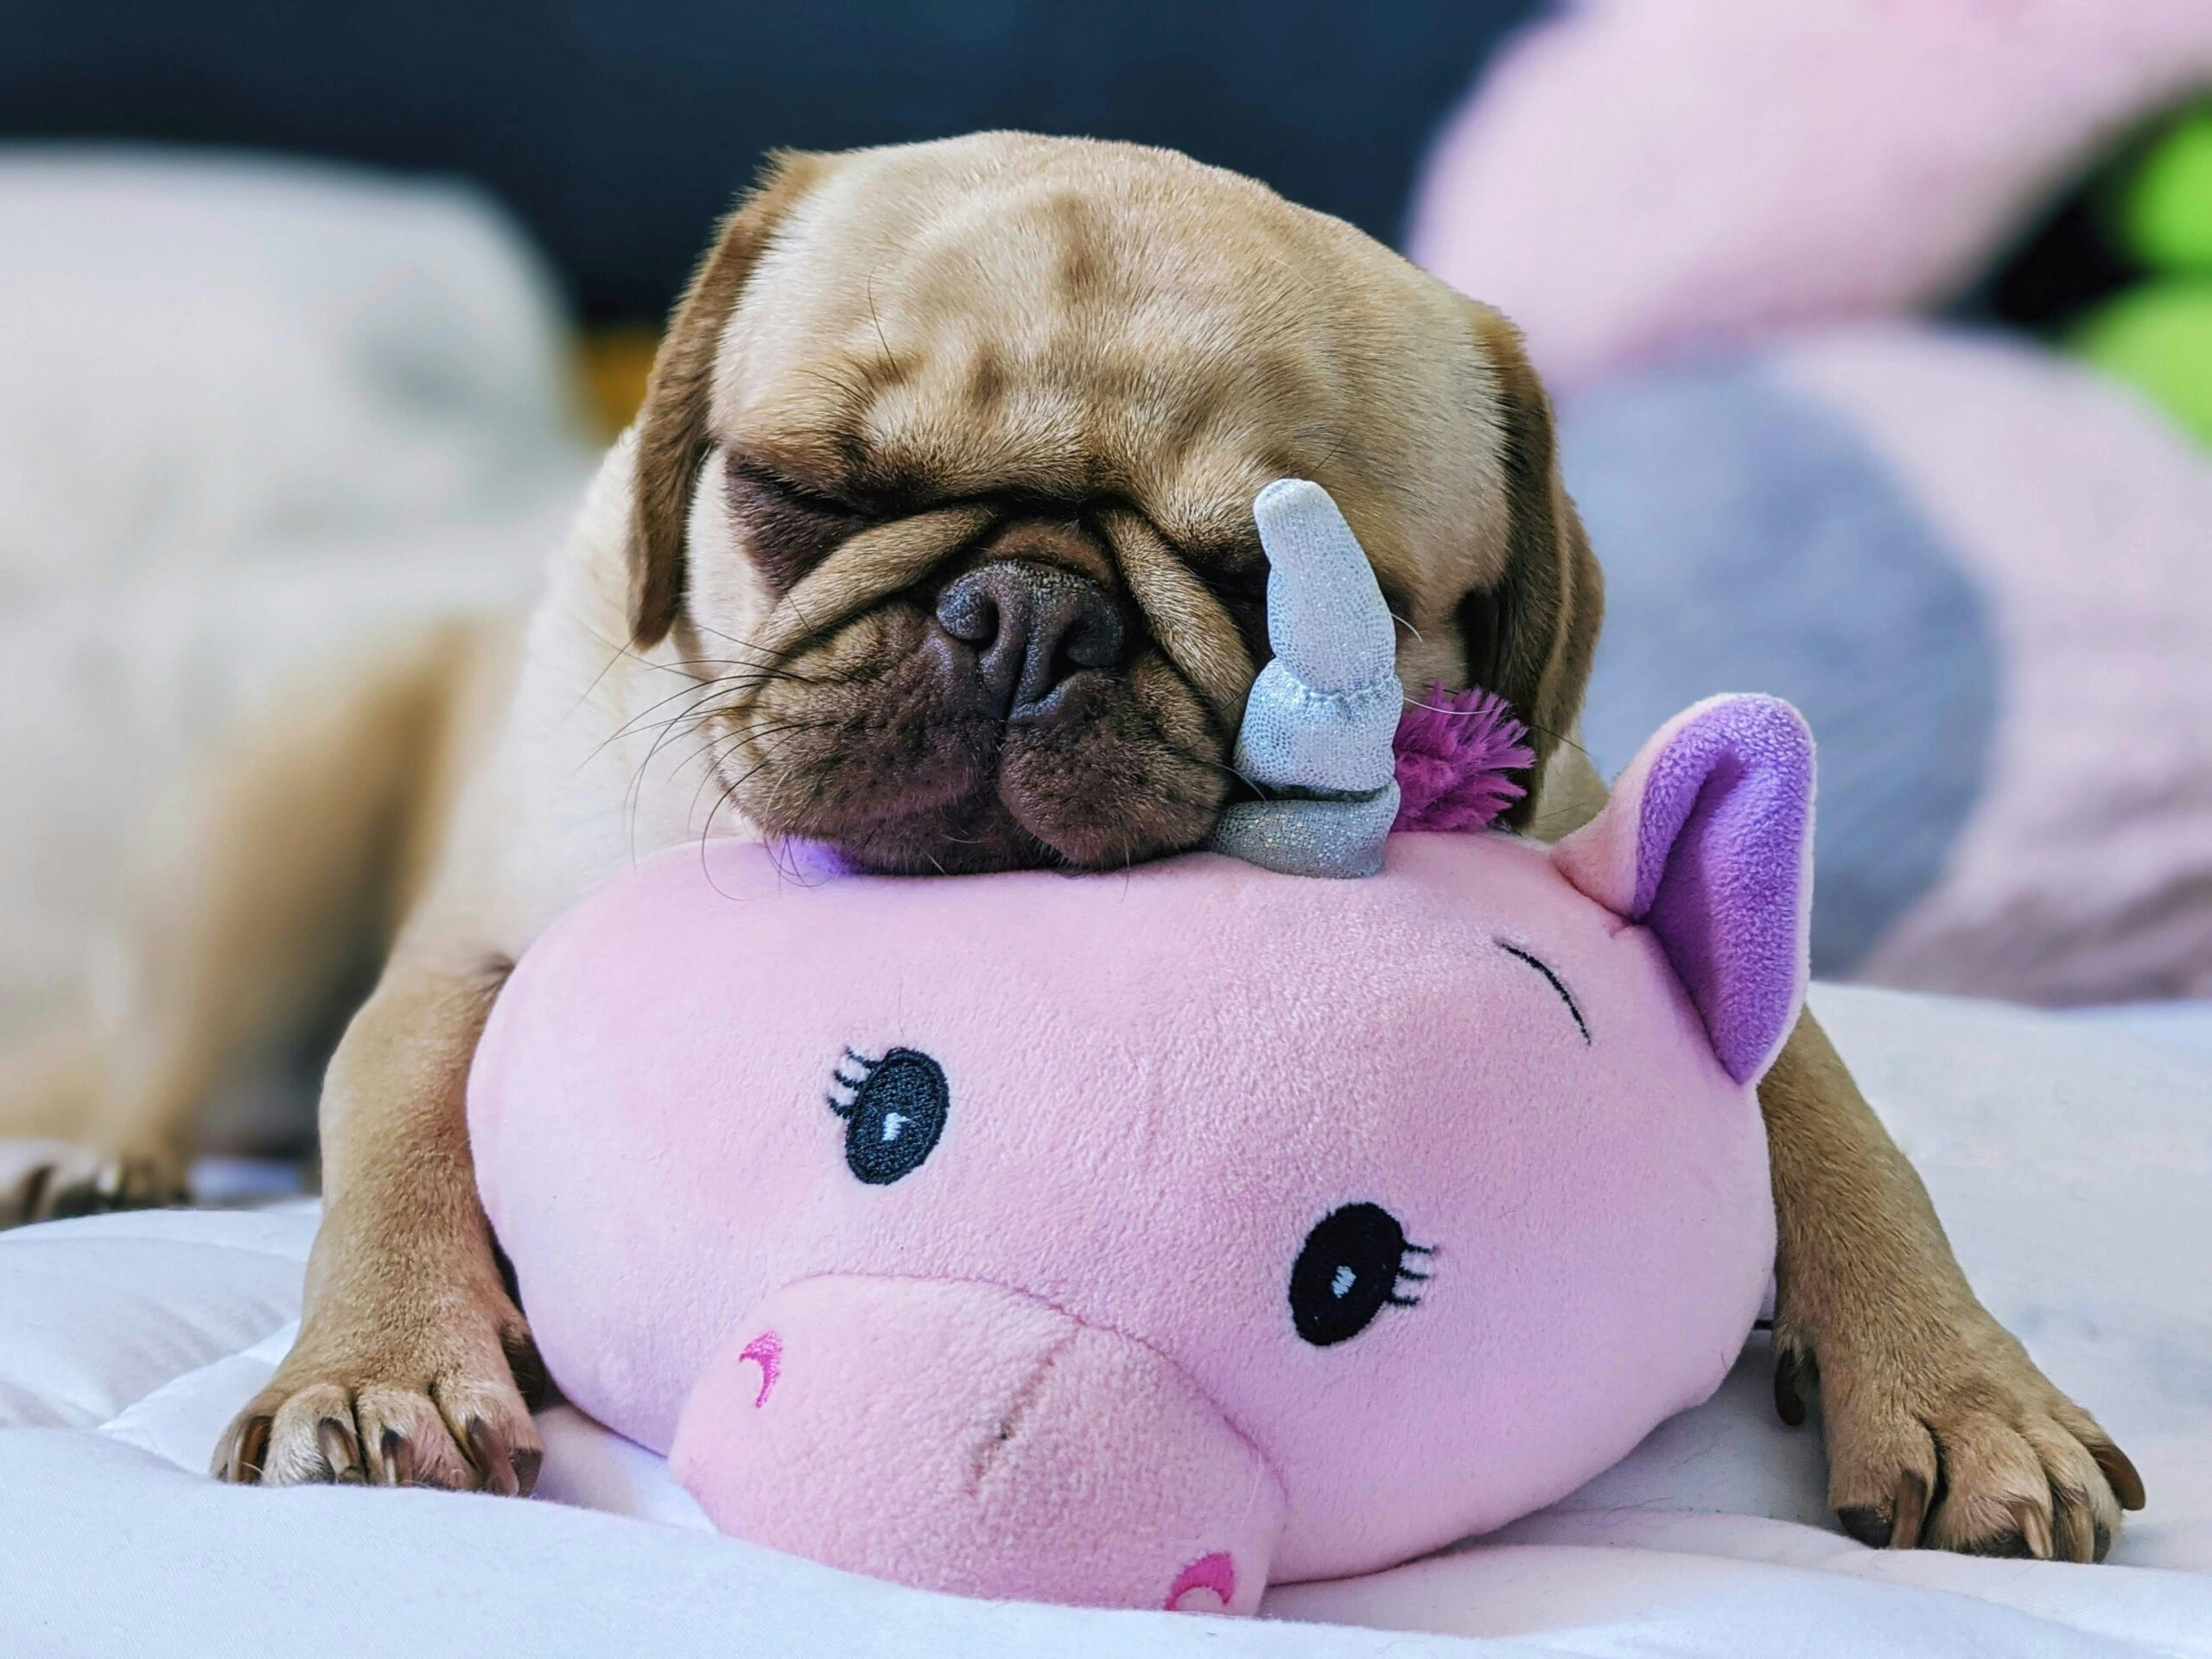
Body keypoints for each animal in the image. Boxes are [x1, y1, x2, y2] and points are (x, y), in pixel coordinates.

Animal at [13, 130, 2141, 1557]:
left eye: (1298, 590)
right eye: (800, 493)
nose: (1027, 610)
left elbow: (1840, 1138)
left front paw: (1963, 1391)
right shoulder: (464, 965)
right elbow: (389, 1127)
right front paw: (375, 1366)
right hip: (278, 817)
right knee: (169, 1043)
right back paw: (93, 1150)